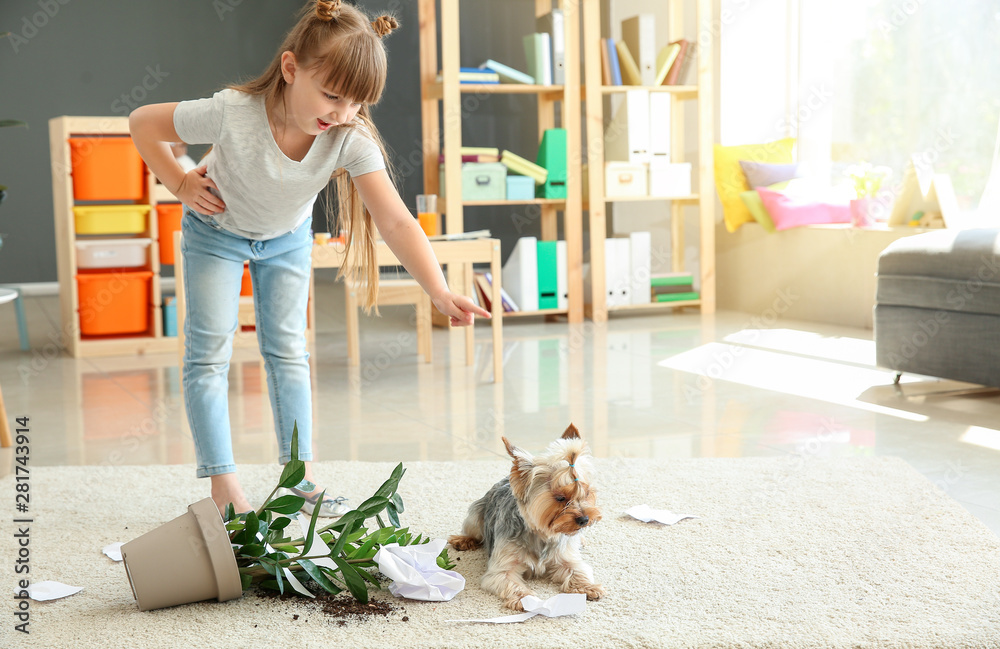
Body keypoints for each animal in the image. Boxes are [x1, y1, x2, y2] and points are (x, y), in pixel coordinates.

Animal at [450, 422, 604, 612]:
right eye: (560, 498)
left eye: (587, 493)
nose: (584, 520)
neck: (541, 534)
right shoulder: (502, 570)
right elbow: (512, 583)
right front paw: (524, 599)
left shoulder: (566, 559)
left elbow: (578, 570)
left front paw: (589, 587)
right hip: (476, 515)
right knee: (473, 530)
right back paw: (463, 540)